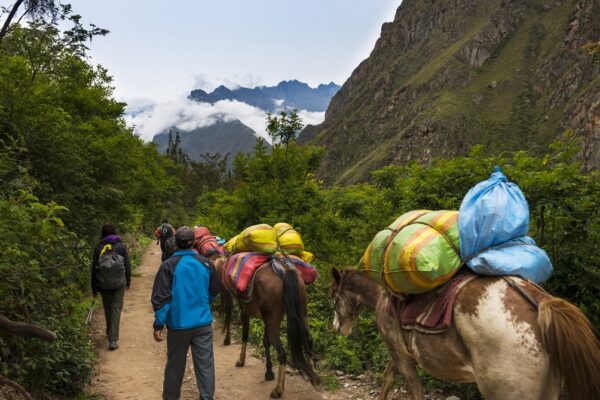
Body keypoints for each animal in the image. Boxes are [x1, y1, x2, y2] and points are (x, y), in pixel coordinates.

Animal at [214, 256, 322, 396]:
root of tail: (284, 270)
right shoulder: (266, 320)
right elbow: (266, 342)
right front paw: (269, 372)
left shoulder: (245, 311)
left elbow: (245, 336)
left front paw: (241, 360)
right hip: (301, 313)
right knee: (309, 340)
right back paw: (314, 377)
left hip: (274, 321)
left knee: (282, 353)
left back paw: (278, 390)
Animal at [330, 268, 600, 400]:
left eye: (333, 295)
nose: (336, 327)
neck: (382, 298)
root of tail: (541, 303)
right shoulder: (399, 355)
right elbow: (387, 378)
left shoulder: (402, 357)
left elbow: (406, 387)